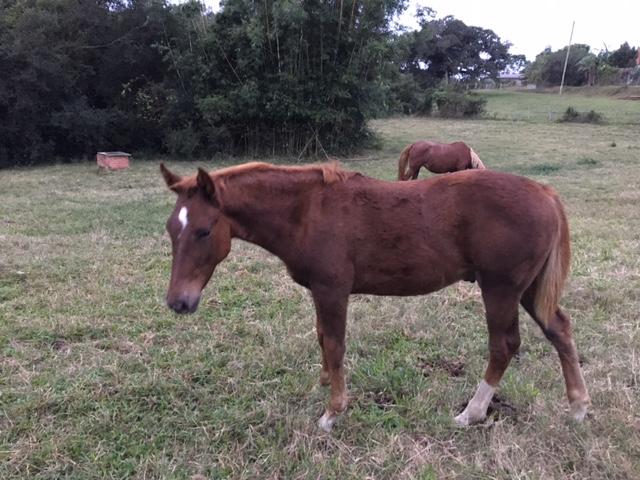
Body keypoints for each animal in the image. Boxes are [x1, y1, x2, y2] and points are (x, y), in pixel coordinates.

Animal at [160, 161, 589, 432]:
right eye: (170, 228)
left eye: (203, 230)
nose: (179, 302)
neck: (308, 212)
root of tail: (545, 192)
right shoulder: (320, 291)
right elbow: (322, 337)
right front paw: (323, 383)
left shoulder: (333, 289)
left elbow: (335, 344)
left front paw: (333, 413)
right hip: (528, 288)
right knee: (560, 330)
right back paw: (578, 407)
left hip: (500, 287)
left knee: (504, 345)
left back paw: (471, 414)